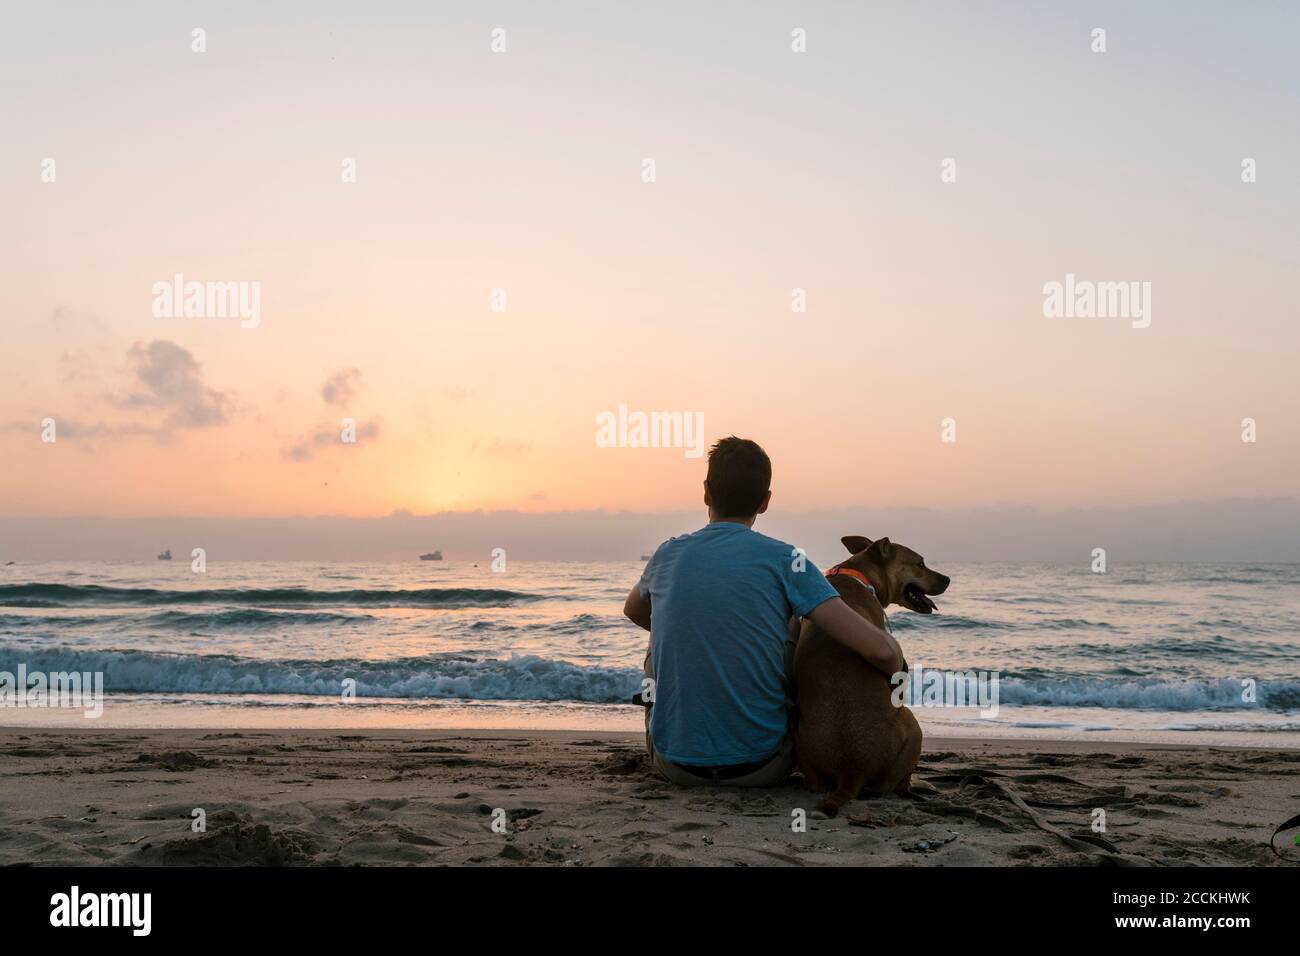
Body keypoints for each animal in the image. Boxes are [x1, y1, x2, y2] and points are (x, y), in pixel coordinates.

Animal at [790, 535, 946, 816]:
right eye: (920, 564)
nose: (948, 579)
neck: (858, 574)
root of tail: (852, 769)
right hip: (912, 725)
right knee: (893, 785)